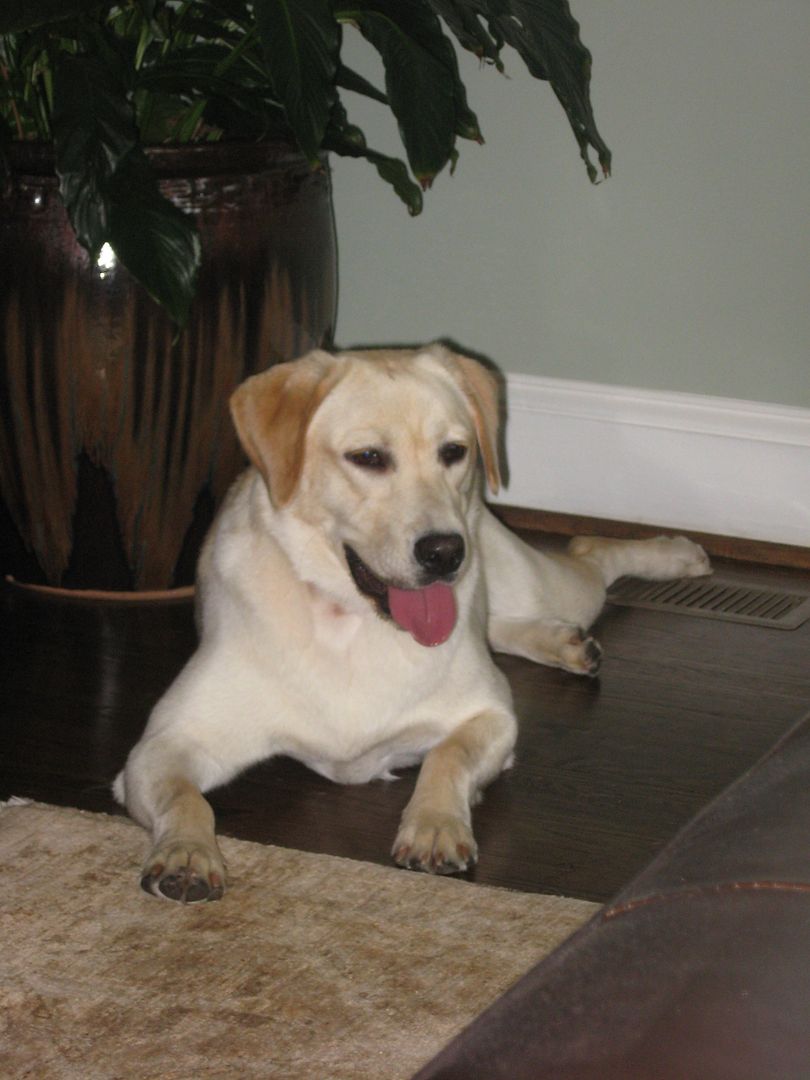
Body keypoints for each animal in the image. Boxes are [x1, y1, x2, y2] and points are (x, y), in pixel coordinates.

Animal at [112, 341, 708, 898]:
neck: (350, 620)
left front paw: (435, 825)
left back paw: (675, 556)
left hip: (540, 580)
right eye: (368, 456)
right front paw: (187, 853)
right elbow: (186, 798)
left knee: (586, 553)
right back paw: (568, 639)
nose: (445, 552)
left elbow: (447, 754)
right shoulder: (161, 746)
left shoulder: (491, 714)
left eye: (454, 451)